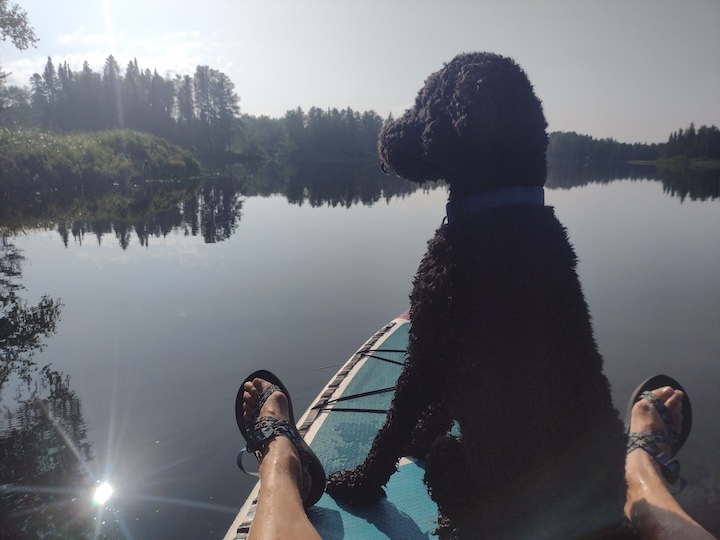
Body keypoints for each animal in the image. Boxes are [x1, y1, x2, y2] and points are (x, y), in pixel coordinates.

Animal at [326, 51, 632, 540]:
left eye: (425, 100)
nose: (383, 134)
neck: (498, 206)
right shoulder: (449, 354)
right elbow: (433, 409)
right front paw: (418, 435)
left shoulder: (429, 340)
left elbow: (392, 427)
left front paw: (360, 483)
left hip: (457, 459)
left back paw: (449, 523)